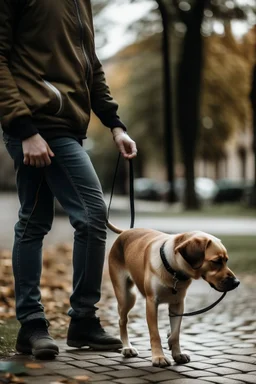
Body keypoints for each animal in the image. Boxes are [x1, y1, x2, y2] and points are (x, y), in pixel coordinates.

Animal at [108, 226, 240, 368]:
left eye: (226, 260)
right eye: (216, 261)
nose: (236, 282)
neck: (174, 269)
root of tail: (126, 231)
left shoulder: (178, 304)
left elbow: (176, 333)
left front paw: (176, 352)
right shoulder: (151, 302)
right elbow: (155, 334)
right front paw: (158, 357)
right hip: (127, 296)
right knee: (122, 321)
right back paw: (127, 347)